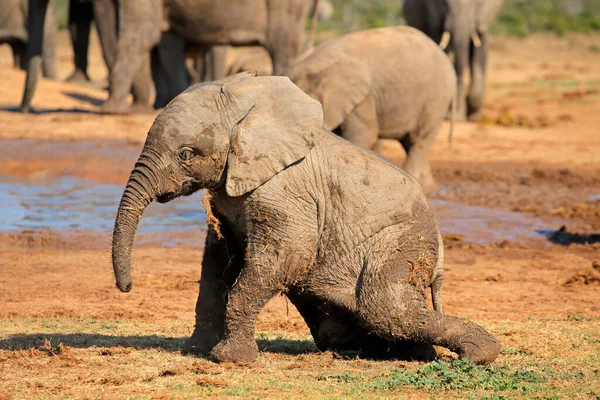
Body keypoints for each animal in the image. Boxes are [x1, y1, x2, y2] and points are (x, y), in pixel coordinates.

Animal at [110, 72, 500, 366]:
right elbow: (218, 261)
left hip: (401, 243)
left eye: (187, 154)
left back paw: (480, 353)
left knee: (386, 309)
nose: (127, 287)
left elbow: (286, 257)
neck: (249, 107)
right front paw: (197, 350)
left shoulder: (287, 193)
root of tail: (440, 250)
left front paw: (231, 359)